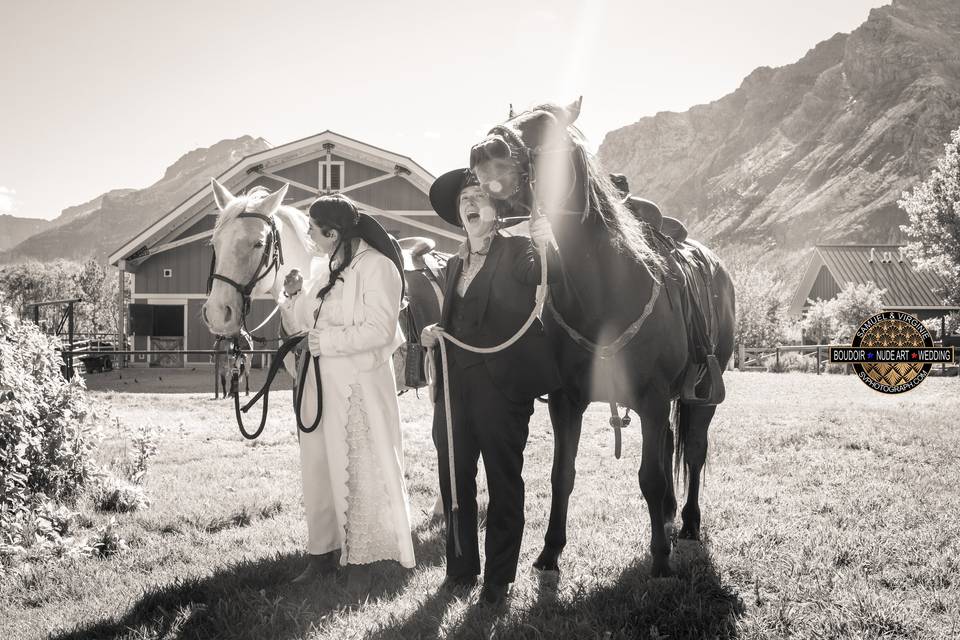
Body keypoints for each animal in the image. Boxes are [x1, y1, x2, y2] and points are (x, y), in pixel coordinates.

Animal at [469, 99, 736, 577]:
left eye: (545, 125)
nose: (484, 151)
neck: (605, 290)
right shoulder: (565, 401)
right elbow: (563, 474)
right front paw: (550, 552)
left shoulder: (652, 397)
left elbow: (650, 476)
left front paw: (660, 559)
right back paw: (670, 514)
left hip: (702, 393)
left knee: (695, 449)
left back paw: (687, 523)